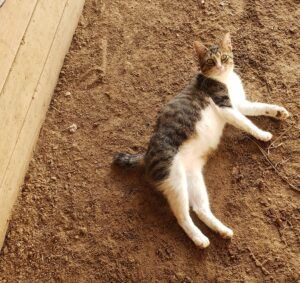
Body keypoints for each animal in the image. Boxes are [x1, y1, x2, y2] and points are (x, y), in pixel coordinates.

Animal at [112, 33, 288, 248]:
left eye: (224, 58)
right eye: (211, 61)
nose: (220, 66)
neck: (225, 79)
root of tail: (146, 154)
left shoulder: (240, 104)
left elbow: (259, 107)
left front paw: (278, 112)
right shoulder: (225, 106)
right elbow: (246, 123)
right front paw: (262, 134)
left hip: (194, 178)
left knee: (200, 209)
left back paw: (222, 231)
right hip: (175, 180)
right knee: (182, 216)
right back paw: (199, 239)